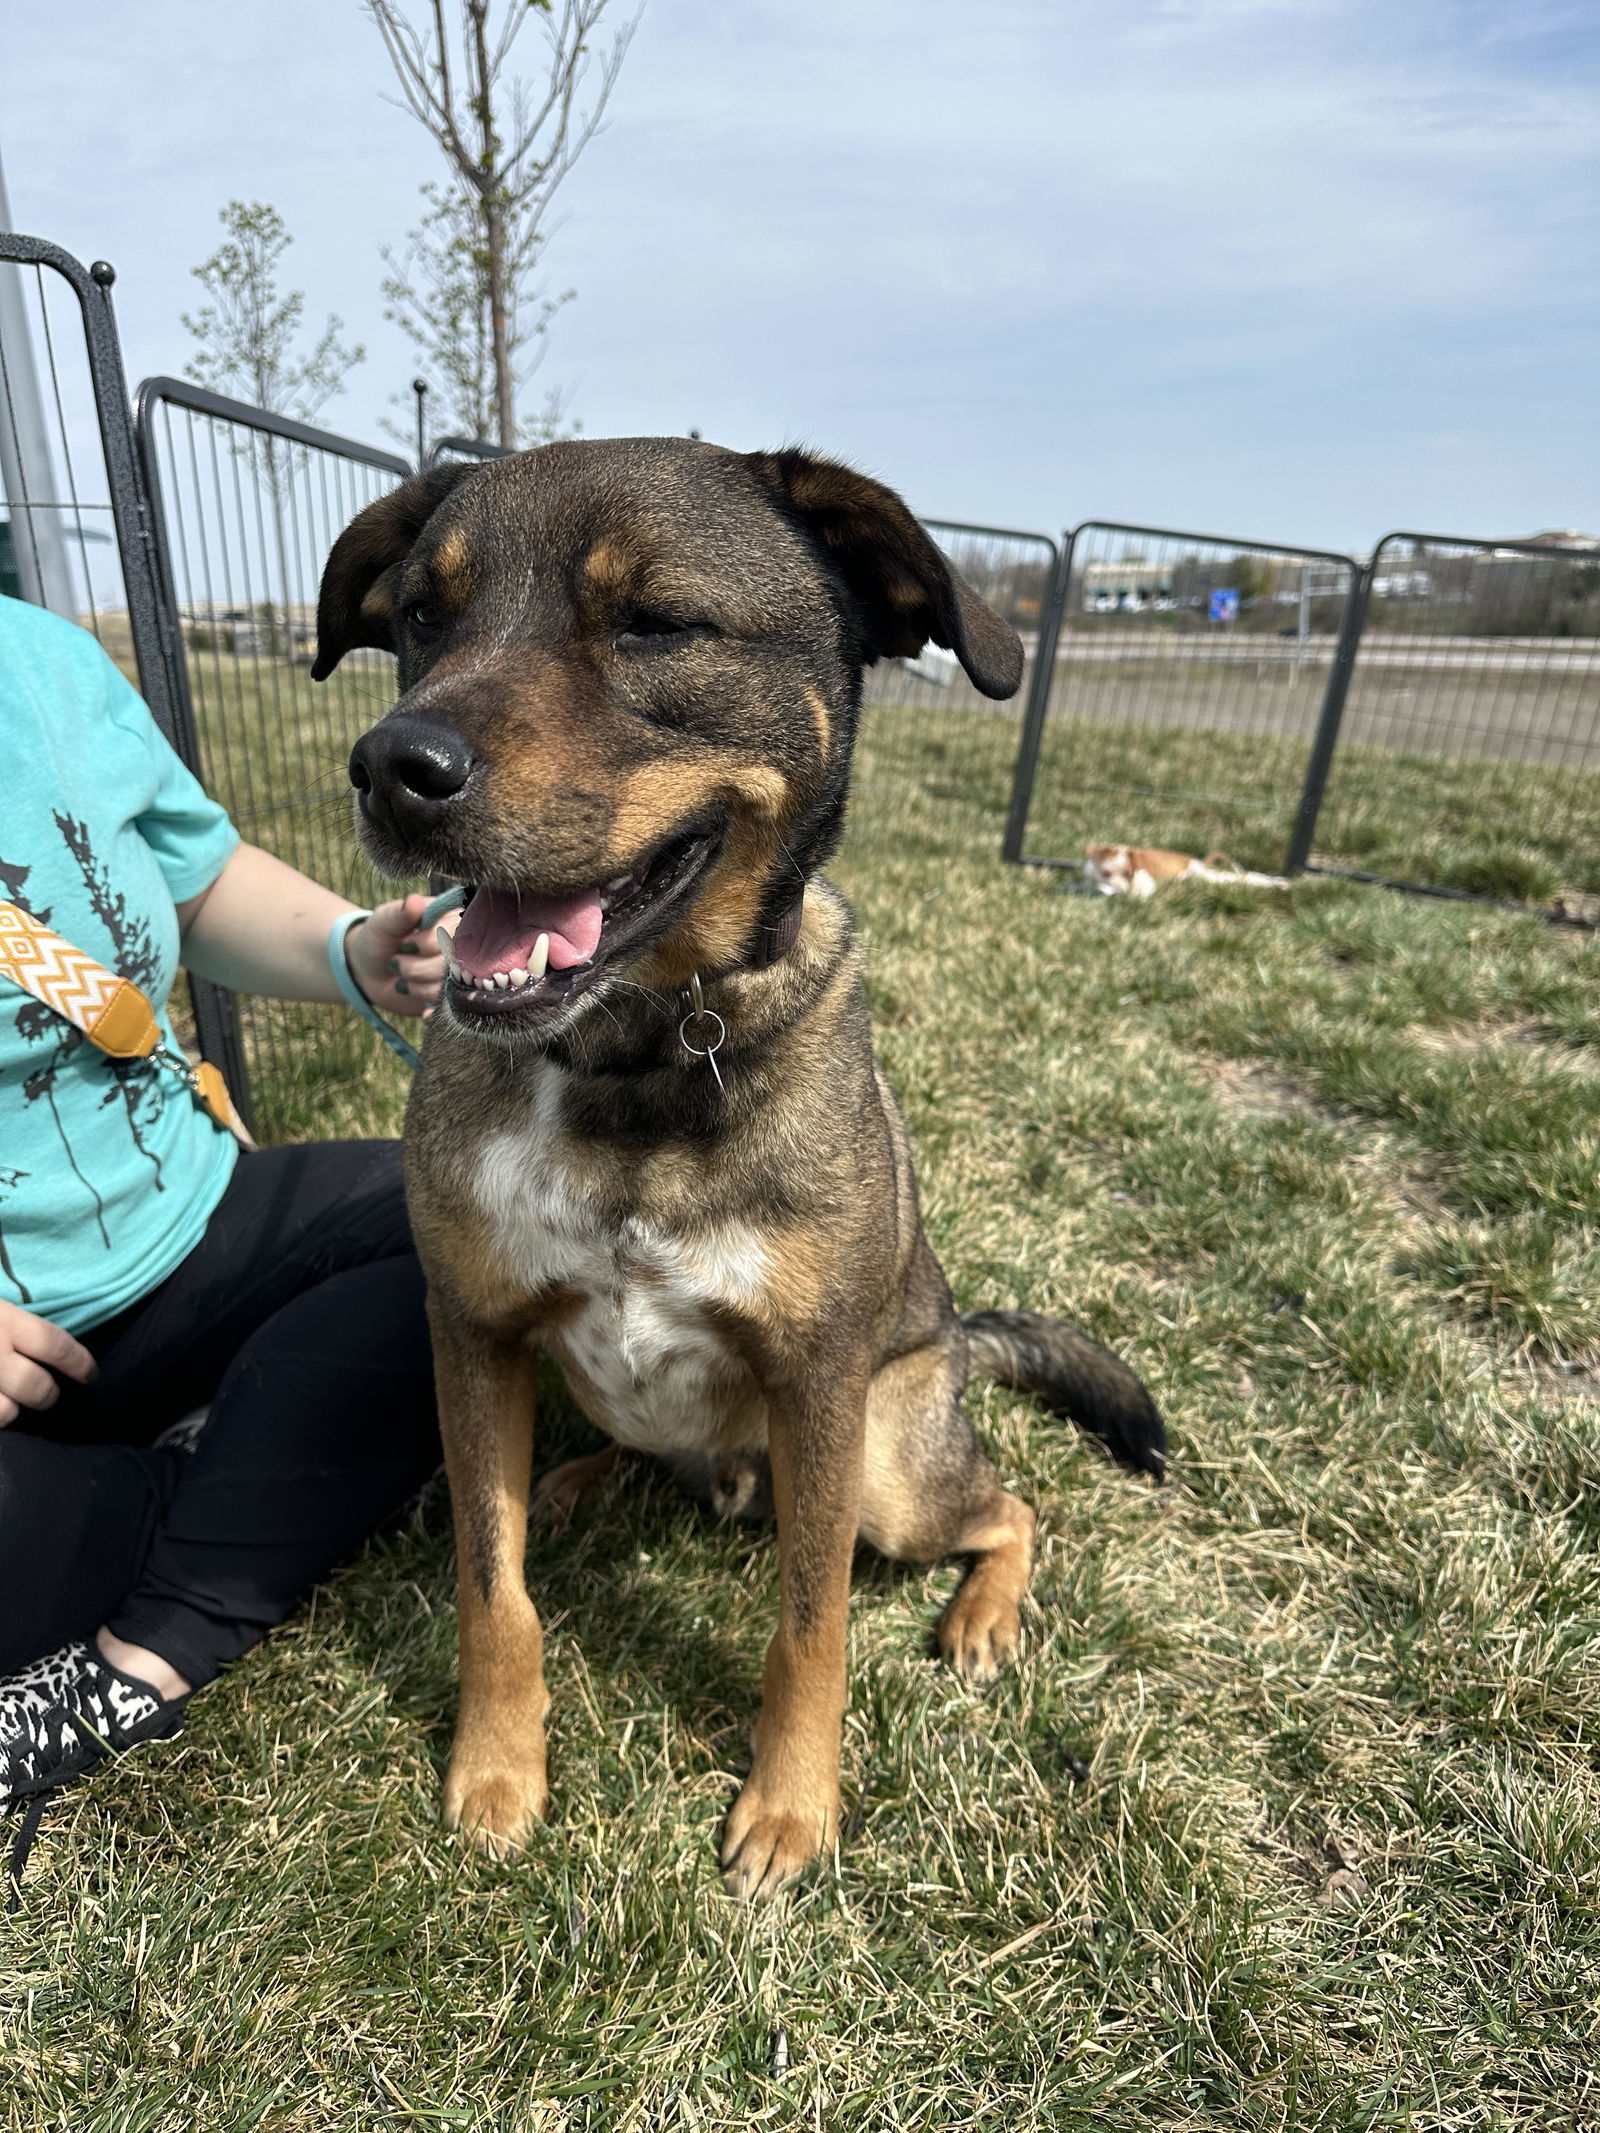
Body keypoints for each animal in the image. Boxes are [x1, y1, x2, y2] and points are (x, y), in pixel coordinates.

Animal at [315, 437, 1169, 1902]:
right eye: (423, 616)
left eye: (657, 622)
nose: (391, 766)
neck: (633, 1056)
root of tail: (958, 1338)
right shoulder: (472, 1331)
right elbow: (495, 1586)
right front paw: (498, 1768)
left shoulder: (818, 1384)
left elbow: (809, 1626)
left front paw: (792, 1809)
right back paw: (573, 1483)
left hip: (891, 1466)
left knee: (1011, 1504)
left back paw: (984, 1615)